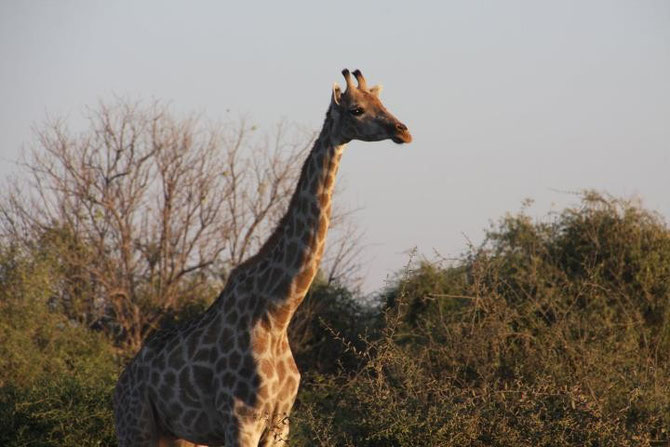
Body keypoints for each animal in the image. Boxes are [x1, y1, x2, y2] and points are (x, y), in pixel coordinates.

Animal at [113, 68, 412, 446]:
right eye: (356, 109)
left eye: (382, 103)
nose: (403, 130)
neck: (277, 314)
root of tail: (122, 382)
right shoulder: (242, 421)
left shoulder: (280, 424)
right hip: (135, 426)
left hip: (180, 435)